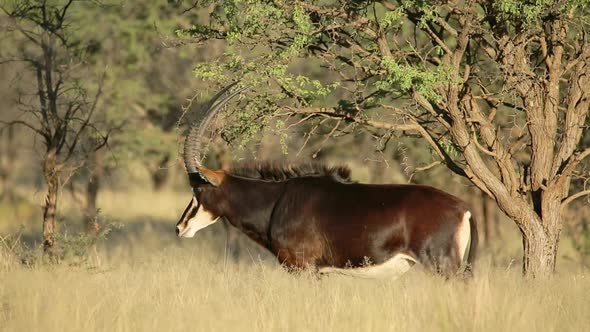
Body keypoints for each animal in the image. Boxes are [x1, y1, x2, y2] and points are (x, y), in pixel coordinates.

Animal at [175, 83, 476, 278]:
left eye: (197, 190)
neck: (276, 201)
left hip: (442, 267)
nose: (180, 228)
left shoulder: (303, 269)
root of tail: (464, 209)